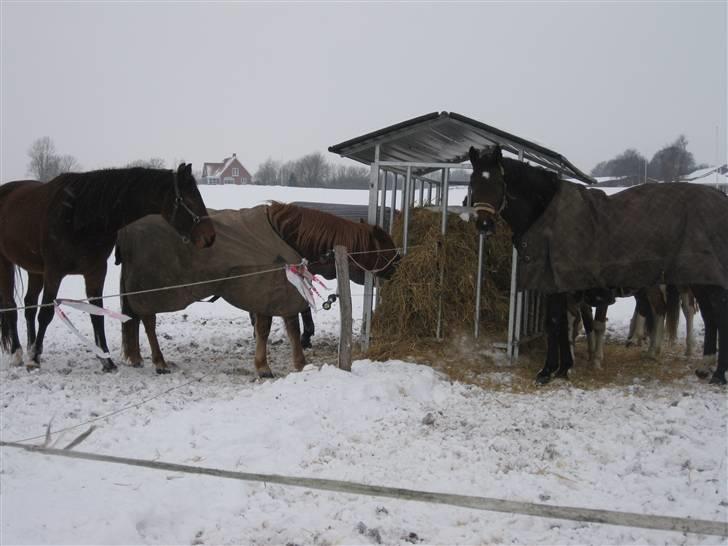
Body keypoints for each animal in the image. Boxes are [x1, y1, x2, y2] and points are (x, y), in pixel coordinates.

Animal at [0, 164, 216, 372]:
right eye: (189, 199)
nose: (210, 237)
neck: (77, 216)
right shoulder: (54, 272)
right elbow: (45, 314)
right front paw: (34, 360)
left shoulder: (95, 272)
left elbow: (97, 314)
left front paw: (107, 362)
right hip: (7, 263)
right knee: (11, 306)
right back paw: (18, 353)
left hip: (35, 269)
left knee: (28, 305)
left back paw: (30, 347)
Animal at [116, 202, 398, 376]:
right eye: (386, 246)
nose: (398, 265)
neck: (285, 236)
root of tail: (126, 231)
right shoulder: (267, 291)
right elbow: (266, 329)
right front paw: (264, 366)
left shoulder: (281, 292)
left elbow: (291, 328)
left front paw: (299, 362)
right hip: (149, 291)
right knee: (148, 322)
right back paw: (158, 361)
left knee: (134, 320)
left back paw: (137, 357)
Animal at [470, 143, 728, 382]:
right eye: (473, 183)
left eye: (497, 184)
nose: (484, 224)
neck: (549, 216)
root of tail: (720, 198)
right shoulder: (562, 287)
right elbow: (565, 324)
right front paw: (564, 367)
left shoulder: (561, 285)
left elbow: (556, 323)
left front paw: (549, 371)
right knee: (702, 315)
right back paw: (698, 364)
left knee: (711, 312)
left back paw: (716, 373)